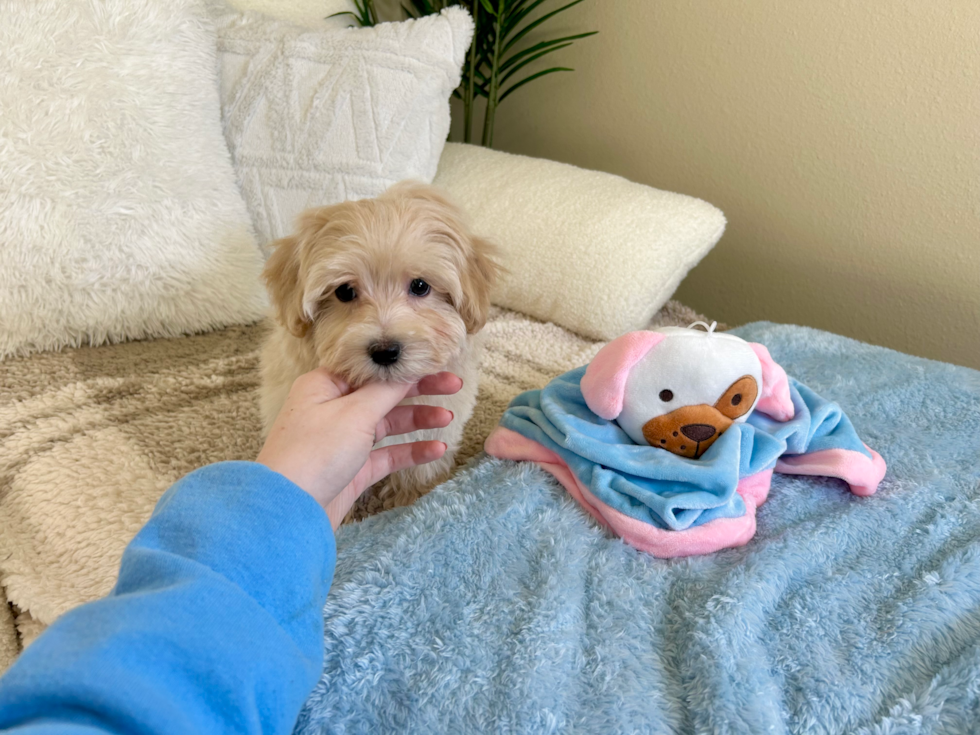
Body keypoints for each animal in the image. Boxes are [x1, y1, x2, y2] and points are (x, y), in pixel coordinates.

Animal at [256, 183, 502, 516]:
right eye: (344, 291)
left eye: (420, 286)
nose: (385, 351)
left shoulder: (439, 422)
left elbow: (420, 465)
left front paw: (410, 502)